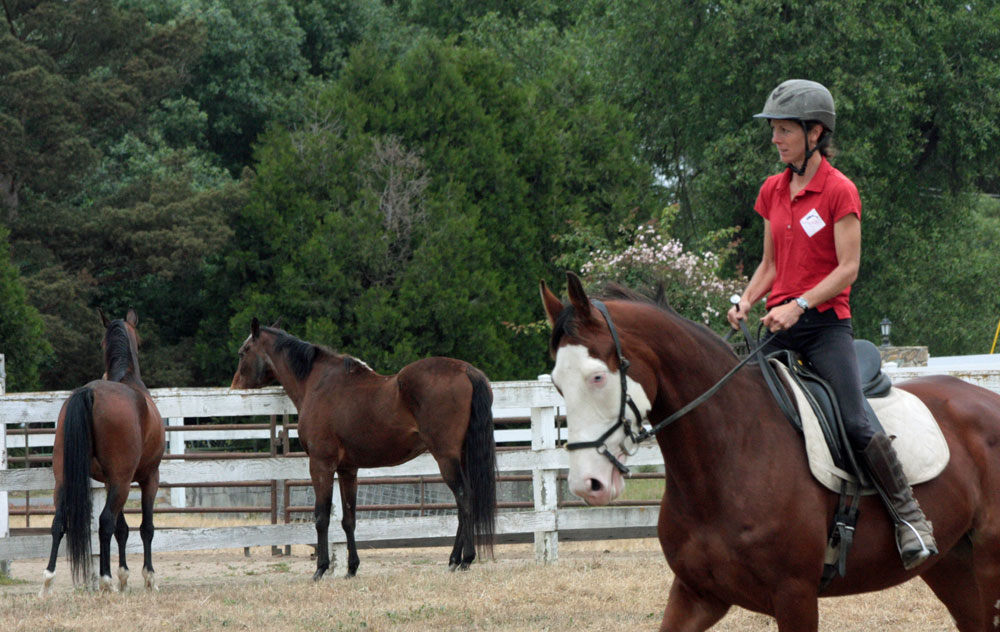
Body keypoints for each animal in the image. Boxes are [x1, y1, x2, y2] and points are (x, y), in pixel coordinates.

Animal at [40, 308, 165, 596]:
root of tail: (90, 392)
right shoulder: (148, 478)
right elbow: (145, 527)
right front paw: (148, 578)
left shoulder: (110, 482)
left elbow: (123, 529)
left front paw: (124, 577)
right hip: (123, 482)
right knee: (105, 522)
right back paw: (106, 581)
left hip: (65, 478)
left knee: (59, 522)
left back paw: (48, 581)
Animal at [229, 318, 496, 580]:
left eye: (243, 352)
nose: (234, 387)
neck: (317, 384)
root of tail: (467, 371)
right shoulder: (348, 469)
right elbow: (349, 519)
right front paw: (351, 567)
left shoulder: (321, 465)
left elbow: (322, 517)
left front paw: (321, 568)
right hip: (460, 456)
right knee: (464, 502)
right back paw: (455, 560)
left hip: (446, 457)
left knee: (464, 499)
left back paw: (464, 559)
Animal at [544, 274, 1000, 632]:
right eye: (557, 383)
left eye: (597, 377)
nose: (588, 484)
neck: (728, 456)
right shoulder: (697, 594)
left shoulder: (795, 596)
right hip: (952, 566)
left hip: (988, 563)